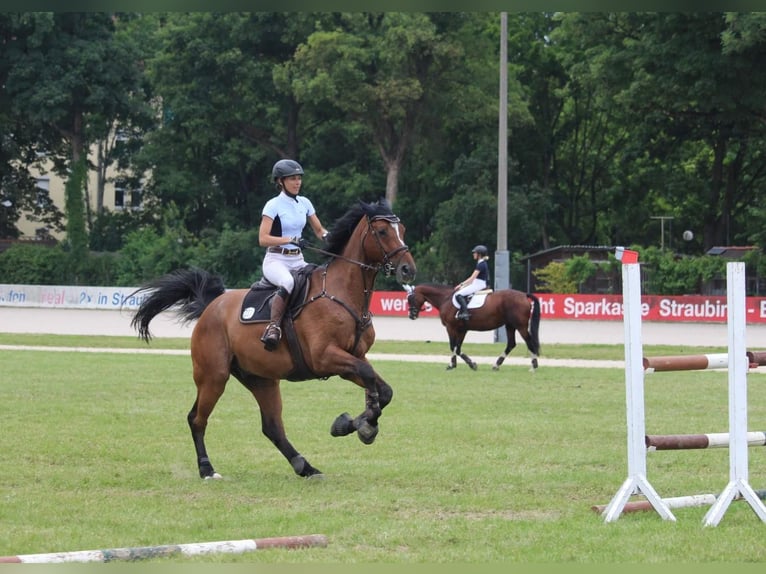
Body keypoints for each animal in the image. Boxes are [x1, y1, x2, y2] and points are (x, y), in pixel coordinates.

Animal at [133, 200, 420, 480]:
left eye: (403, 230)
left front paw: (359, 423)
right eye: (382, 231)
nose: (408, 270)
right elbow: (370, 379)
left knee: (272, 427)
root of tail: (212, 306)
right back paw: (207, 469)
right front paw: (360, 425)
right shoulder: (326, 357)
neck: (343, 294)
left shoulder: (352, 358)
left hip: (261, 379)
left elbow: (383, 390)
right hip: (213, 376)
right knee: (197, 418)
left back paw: (306, 467)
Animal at [404, 284, 544, 374]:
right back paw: (496, 365)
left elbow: (452, 346)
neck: (445, 299)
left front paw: (451, 365)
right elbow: (458, 348)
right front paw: (472, 364)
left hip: (520, 326)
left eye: (411, 298)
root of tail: (524, 295)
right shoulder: (462, 329)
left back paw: (533, 367)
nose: (411, 315)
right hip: (510, 325)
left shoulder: (451, 327)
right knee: (511, 344)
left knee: (529, 341)